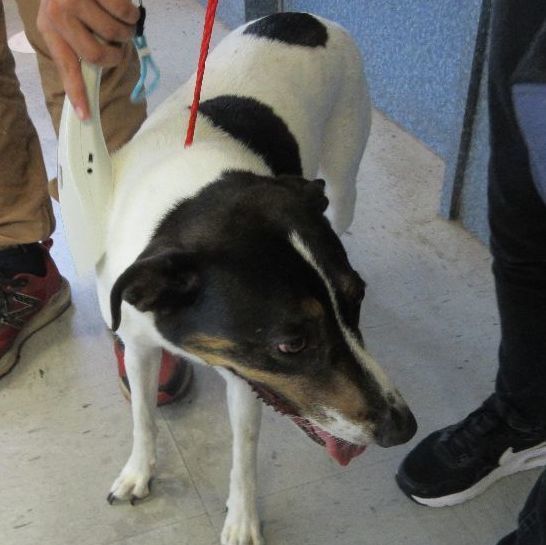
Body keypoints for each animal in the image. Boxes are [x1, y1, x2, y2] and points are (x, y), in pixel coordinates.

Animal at [95, 12, 414, 544]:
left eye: (357, 299)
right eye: (291, 344)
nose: (403, 428)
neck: (188, 193)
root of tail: (307, 18)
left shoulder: (248, 380)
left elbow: (243, 453)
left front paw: (242, 519)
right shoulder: (138, 345)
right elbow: (143, 415)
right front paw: (138, 471)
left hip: (345, 174)